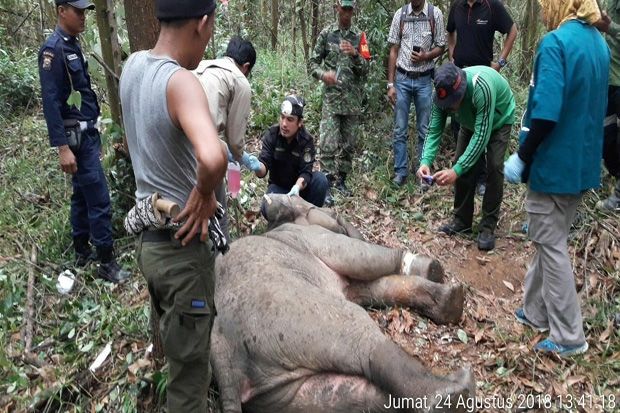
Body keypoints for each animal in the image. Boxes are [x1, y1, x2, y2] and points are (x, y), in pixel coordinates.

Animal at [211, 195, 472, 410]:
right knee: (360, 335)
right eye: (323, 208)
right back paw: (453, 393)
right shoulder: (319, 240)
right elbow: (366, 260)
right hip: (290, 311)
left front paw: (447, 296)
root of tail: (222, 352)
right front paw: (432, 269)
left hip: (276, 394)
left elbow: (373, 287)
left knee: (346, 395)